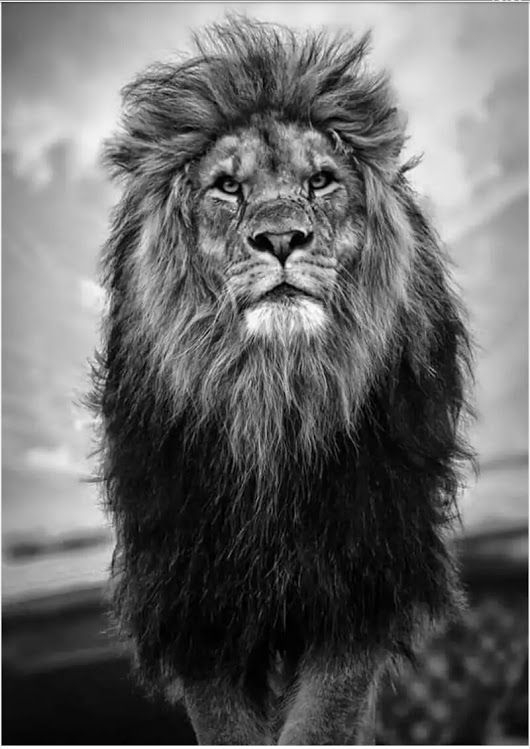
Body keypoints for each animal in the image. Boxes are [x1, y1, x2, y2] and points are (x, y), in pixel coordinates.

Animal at [90, 18, 474, 745]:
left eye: (321, 180)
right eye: (227, 187)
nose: (281, 239)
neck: (273, 395)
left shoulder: (362, 576)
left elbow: (323, 720)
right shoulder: (194, 596)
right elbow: (228, 726)